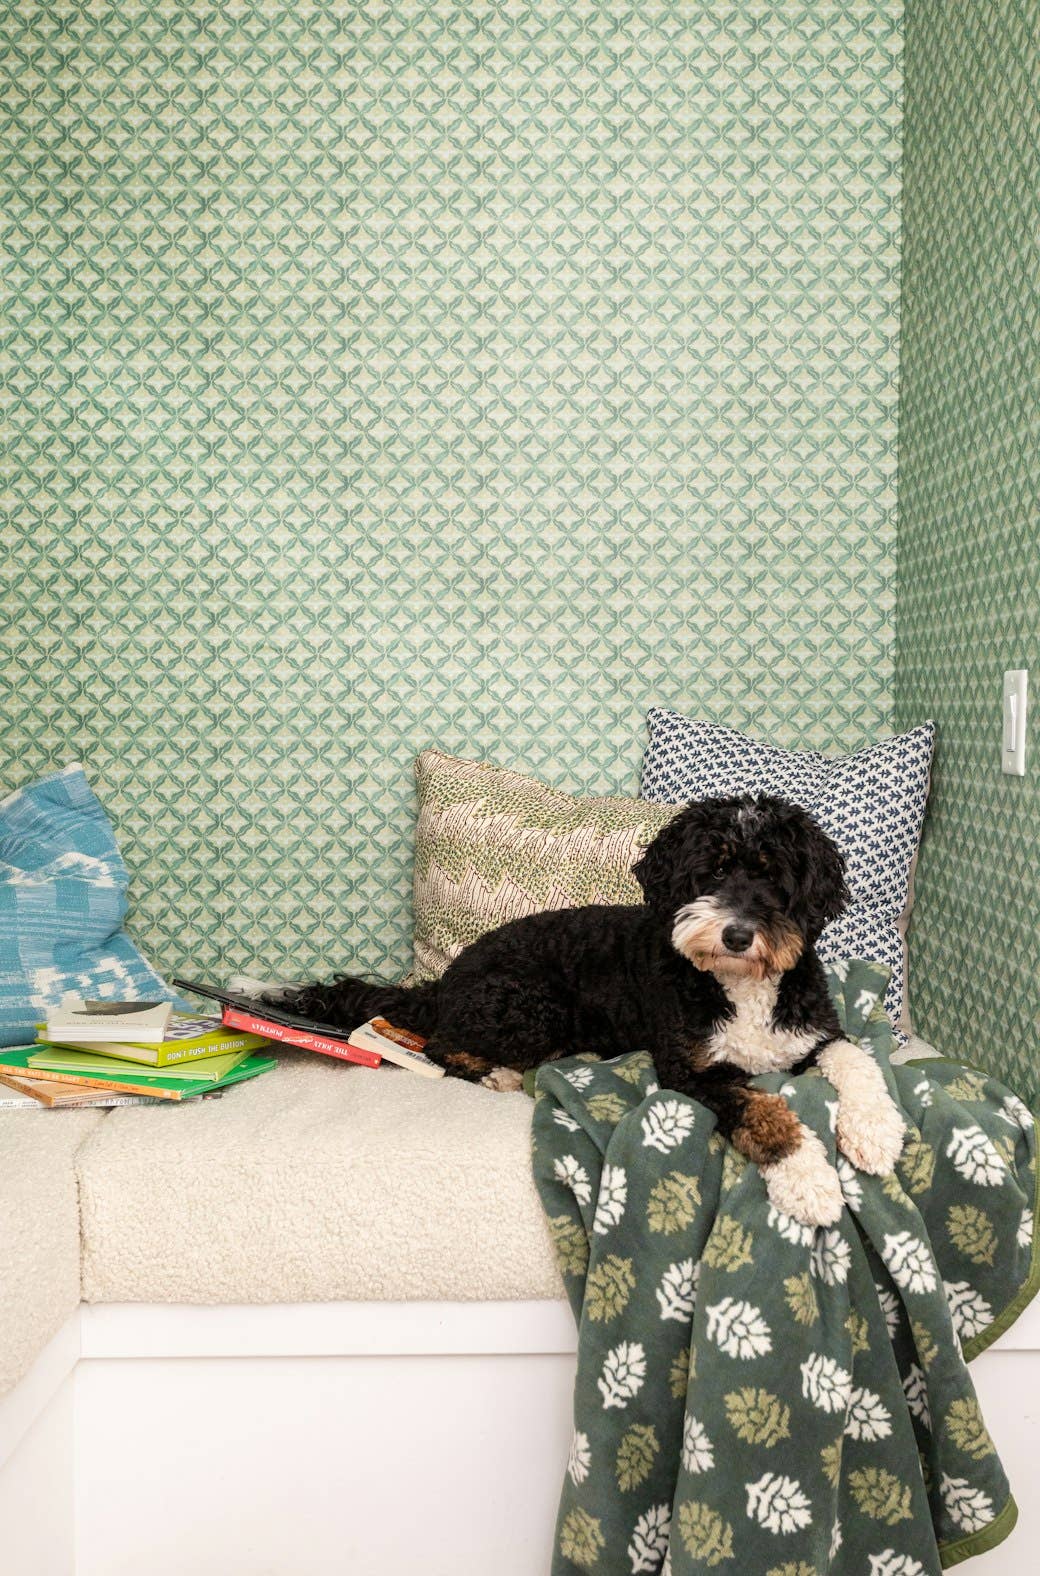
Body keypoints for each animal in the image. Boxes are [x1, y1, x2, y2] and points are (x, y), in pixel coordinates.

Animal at [274, 794, 901, 1222]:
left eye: (775, 878)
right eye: (715, 870)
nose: (739, 935)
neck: (739, 985)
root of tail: (443, 980)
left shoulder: (812, 1032)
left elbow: (857, 1060)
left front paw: (876, 1132)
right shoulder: (689, 1072)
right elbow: (761, 1109)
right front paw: (808, 1181)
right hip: (533, 1004)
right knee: (442, 1043)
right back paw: (499, 1073)